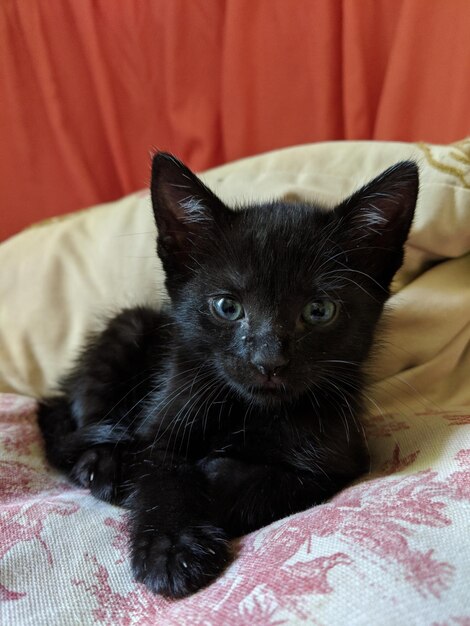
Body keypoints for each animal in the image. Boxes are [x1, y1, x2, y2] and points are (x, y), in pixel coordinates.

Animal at [37, 151, 418, 596]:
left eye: (319, 310)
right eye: (227, 307)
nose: (269, 361)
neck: (249, 411)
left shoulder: (341, 456)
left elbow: (279, 481)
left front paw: (215, 475)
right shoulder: (160, 425)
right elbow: (162, 477)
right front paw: (171, 549)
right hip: (124, 330)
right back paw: (102, 466)